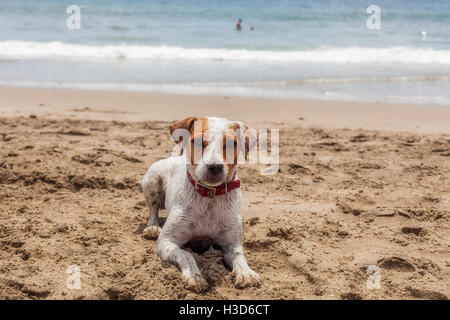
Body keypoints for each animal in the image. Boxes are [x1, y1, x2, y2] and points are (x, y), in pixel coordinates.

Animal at [142, 116, 258, 292]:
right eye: (196, 141)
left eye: (231, 143)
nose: (215, 167)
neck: (209, 196)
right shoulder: (166, 242)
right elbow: (186, 254)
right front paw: (195, 277)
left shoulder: (232, 243)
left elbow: (239, 256)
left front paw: (246, 273)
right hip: (151, 181)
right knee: (153, 210)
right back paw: (152, 227)